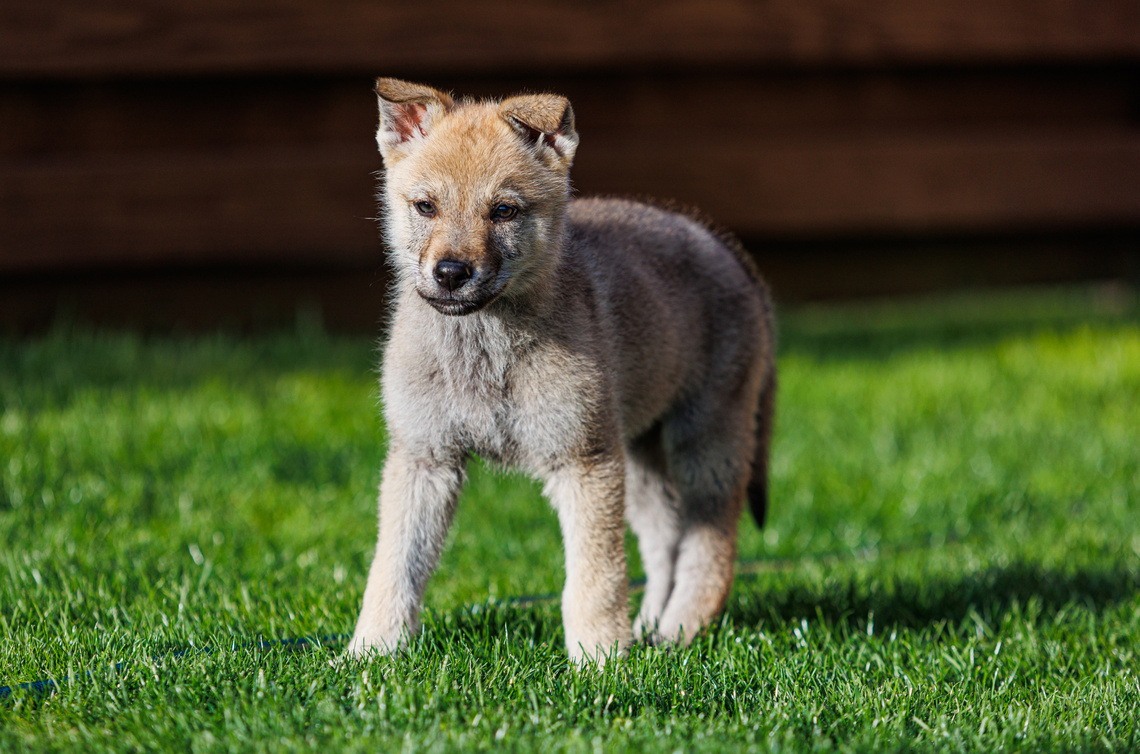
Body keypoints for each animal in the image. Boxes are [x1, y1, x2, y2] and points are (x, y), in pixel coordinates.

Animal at [348, 79, 775, 661]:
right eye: (425, 206)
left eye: (503, 210)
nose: (452, 273)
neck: (486, 349)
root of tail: (730, 253)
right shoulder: (424, 458)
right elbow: (394, 569)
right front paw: (370, 654)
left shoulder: (583, 460)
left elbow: (594, 578)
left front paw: (601, 660)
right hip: (643, 455)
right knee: (666, 543)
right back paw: (650, 630)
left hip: (703, 442)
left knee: (711, 546)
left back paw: (677, 633)